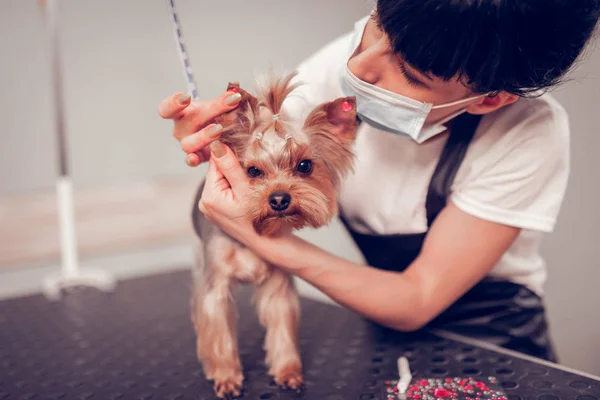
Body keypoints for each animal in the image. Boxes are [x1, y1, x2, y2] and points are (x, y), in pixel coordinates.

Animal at [190, 72, 356, 396]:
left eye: (304, 165)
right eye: (253, 171)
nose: (279, 199)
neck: (250, 238)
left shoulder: (278, 284)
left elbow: (282, 330)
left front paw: (288, 371)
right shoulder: (215, 287)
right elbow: (220, 334)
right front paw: (226, 377)